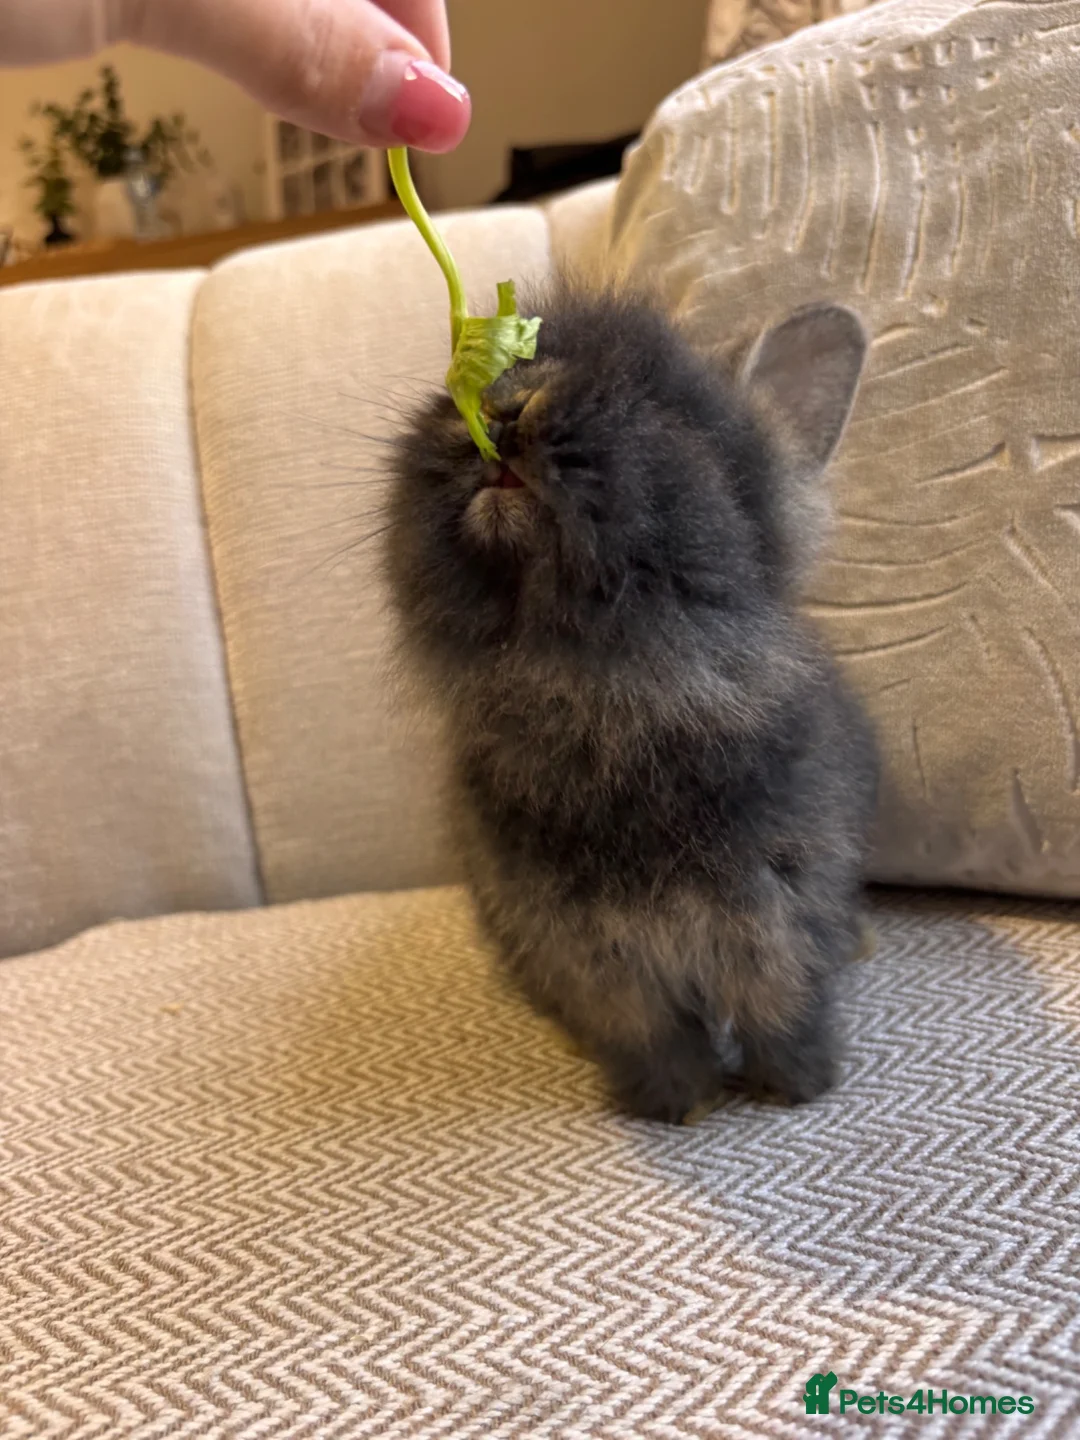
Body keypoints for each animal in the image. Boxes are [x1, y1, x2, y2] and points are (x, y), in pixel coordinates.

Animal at [384, 282, 879, 1123]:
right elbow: (649, 1032)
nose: (508, 402)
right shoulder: (593, 958)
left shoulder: (777, 916)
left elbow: (781, 1005)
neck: (606, 689)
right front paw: (677, 1105)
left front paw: (795, 1088)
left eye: (659, 407)